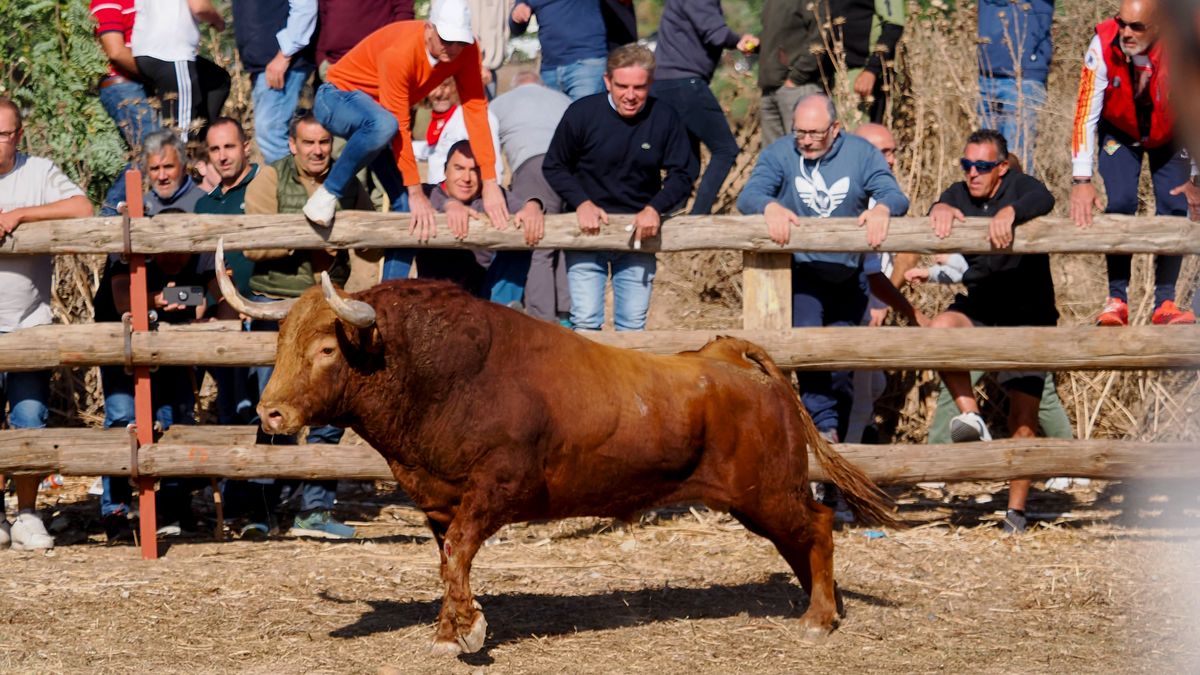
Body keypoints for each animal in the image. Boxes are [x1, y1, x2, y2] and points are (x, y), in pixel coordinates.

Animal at [216, 242, 897, 658]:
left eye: (326, 348)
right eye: (280, 340)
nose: (271, 412)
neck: (441, 374)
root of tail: (731, 355)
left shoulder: (495, 491)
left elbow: (458, 554)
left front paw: (470, 631)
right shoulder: (438, 501)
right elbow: (448, 560)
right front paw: (450, 629)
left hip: (768, 492)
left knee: (818, 525)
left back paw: (819, 617)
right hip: (761, 500)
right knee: (802, 540)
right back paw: (819, 605)